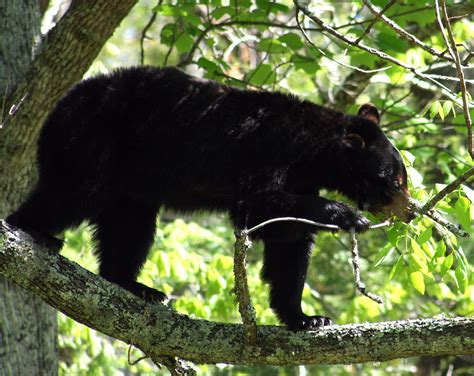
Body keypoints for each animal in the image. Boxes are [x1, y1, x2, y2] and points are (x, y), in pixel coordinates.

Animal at [7, 66, 414, 330]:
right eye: (394, 180)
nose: (410, 212)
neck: (312, 151)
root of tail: (56, 109)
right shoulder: (268, 152)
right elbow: (257, 207)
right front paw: (346, 215)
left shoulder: (300, 178)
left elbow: (290, 247)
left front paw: (306, 317)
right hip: (93, 139)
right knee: (74, 191)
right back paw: (32, 230)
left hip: (130, 182)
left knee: (130, 227)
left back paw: (134, 285)